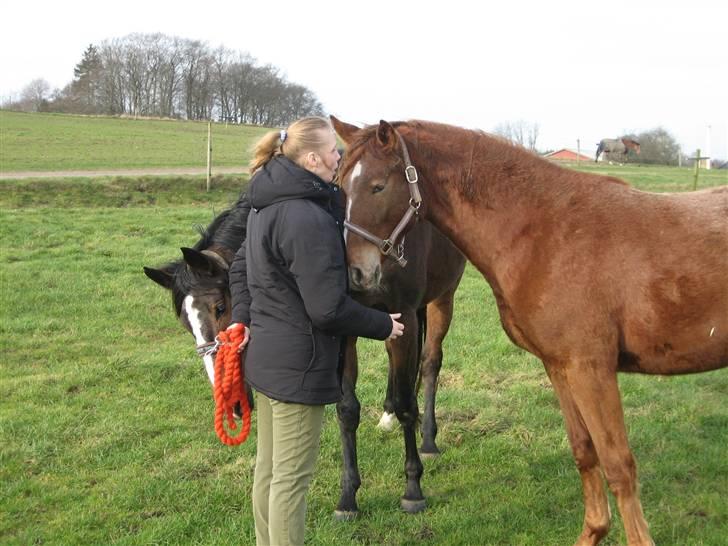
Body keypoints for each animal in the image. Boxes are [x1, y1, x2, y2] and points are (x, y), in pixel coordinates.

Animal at [145, 178, 470, 516]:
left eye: (219, 307)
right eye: (186, 325)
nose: (231, 404)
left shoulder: (402, 314)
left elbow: (408, 401)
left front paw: (412, 488)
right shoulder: (348, 328)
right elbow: (347, 410)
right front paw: (348, 497)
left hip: (441, 298)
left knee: (430, 362)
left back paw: (428, 438)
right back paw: (388, 415)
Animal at [334, 117, 728, 544]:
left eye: (378, 186)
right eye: (338, 185)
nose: (355, 276)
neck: (547, 231)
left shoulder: (591, 370)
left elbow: (619, 466)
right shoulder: (560, 368)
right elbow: (584, 452)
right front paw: (593, 531)